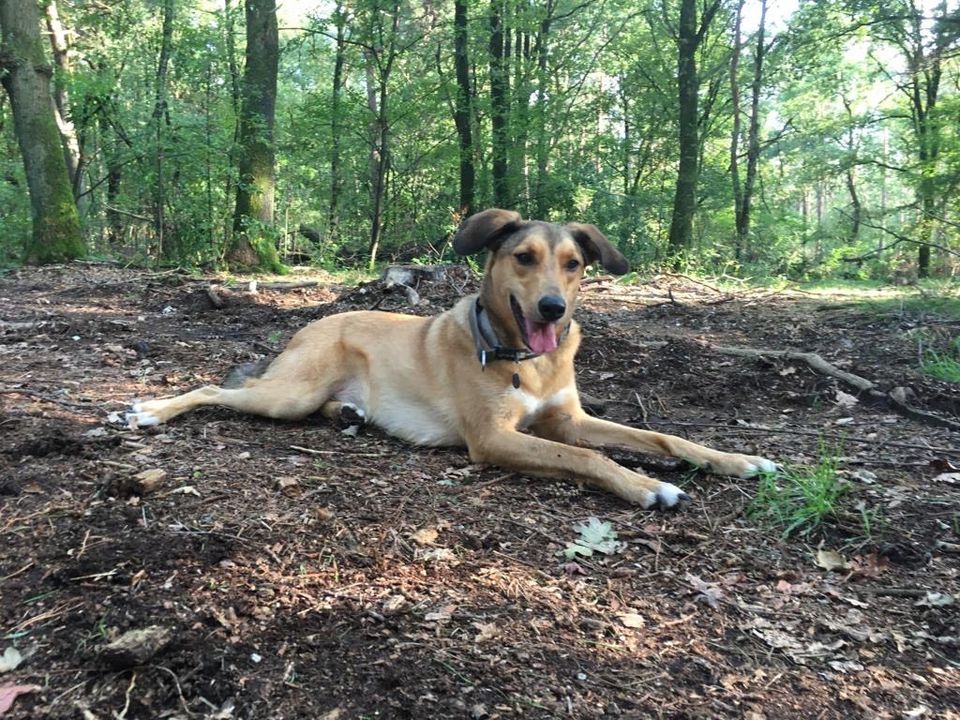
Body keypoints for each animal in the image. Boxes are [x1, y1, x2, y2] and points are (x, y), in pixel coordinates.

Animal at [127, 211, 776, 510]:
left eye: (573, 263)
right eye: (523, 256)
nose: (552, 308)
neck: (522, 357)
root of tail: (310, 321)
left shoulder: (567, 417)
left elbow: (663, 437)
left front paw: (737, 460)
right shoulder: (493, 438)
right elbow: (585, 457)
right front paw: (647, 486)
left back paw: (351, 415)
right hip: (289, 394)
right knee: (213, 390)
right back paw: (147, 412)